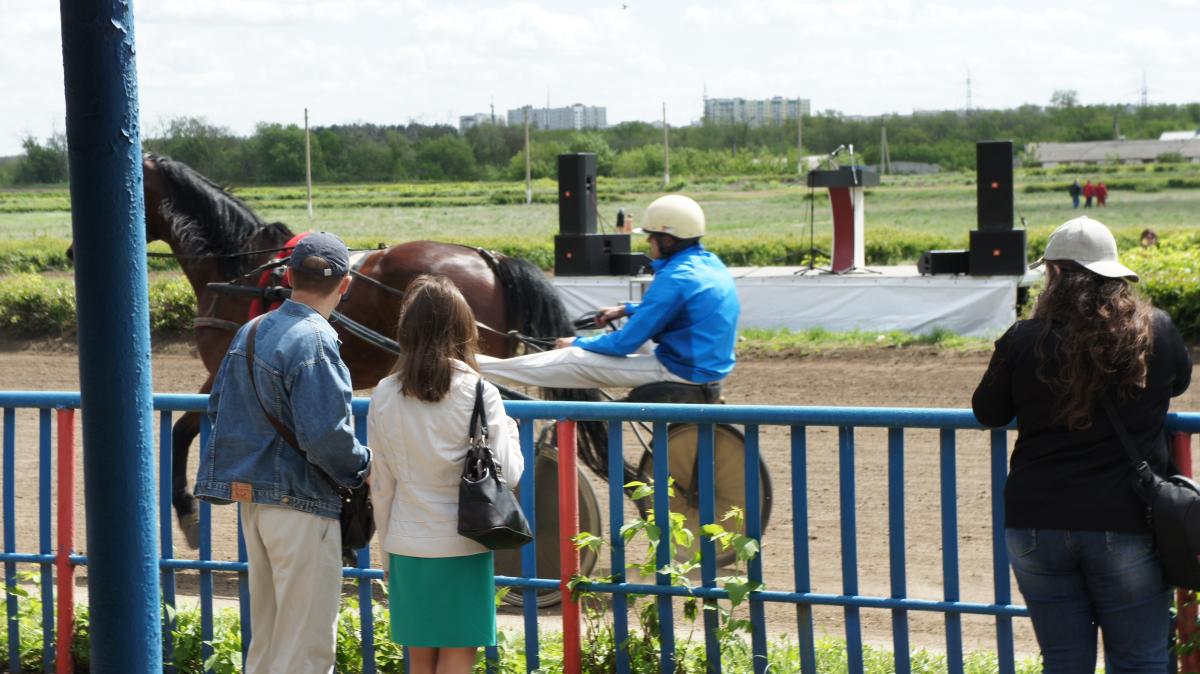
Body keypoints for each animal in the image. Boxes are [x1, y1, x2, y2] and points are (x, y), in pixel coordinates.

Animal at [81, 153, 609, 546]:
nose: (73, 249)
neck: (243, 268)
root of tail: (489, 257)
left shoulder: (225, 366)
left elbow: (183, 431)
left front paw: (188, 514)